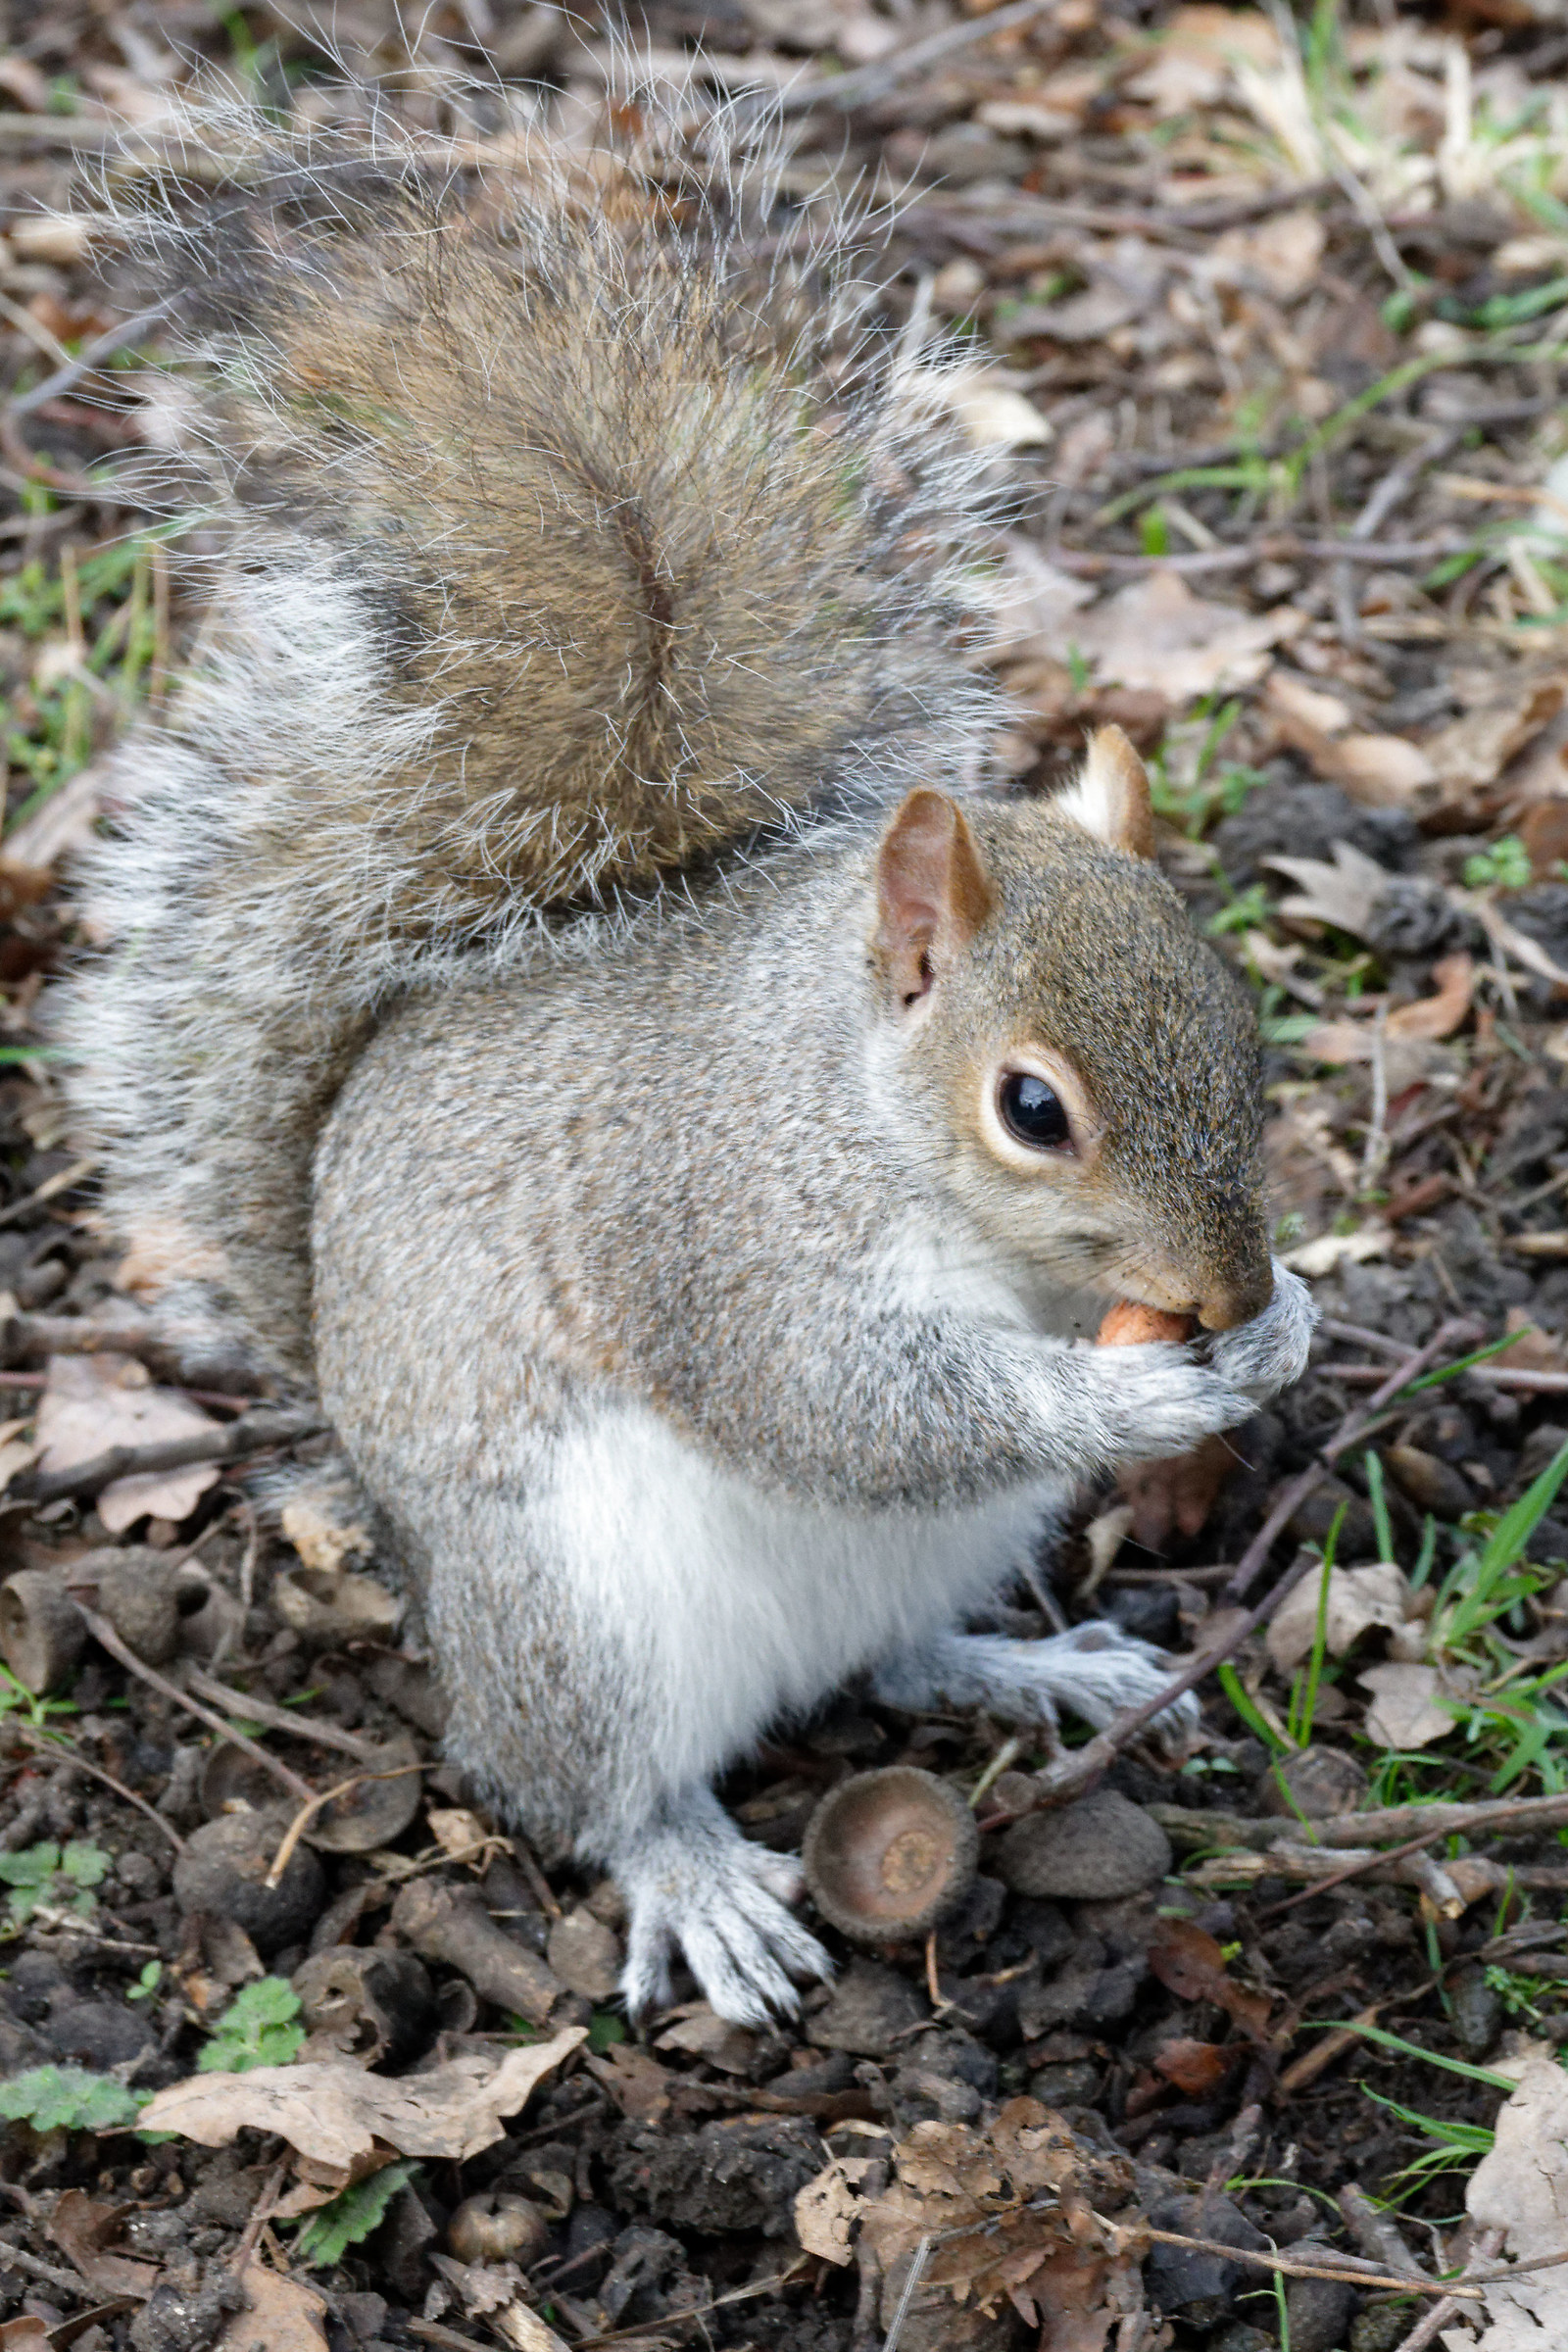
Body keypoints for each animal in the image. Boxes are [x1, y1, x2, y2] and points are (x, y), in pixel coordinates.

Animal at [61, 114, 1315, 2024]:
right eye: (1032, 1109)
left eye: (1249, 1030)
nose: (1228, 1285)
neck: (853, 1103)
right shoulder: (711, 1226)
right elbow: (829, 1401)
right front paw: (1134, 1402)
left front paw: (1288, 1322)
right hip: (574, 1610)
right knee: (585, 1784)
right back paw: (696, 1872)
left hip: (940, 1549)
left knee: (898, 1653)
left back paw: (1033, 1672)